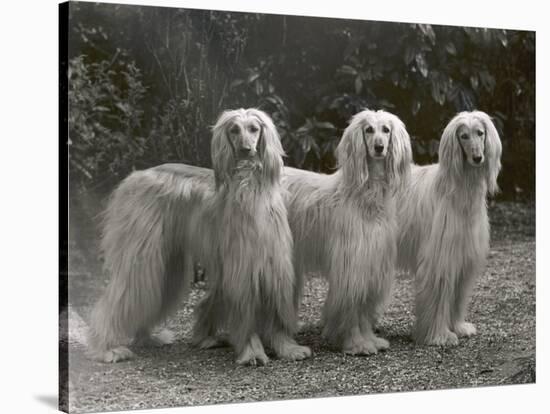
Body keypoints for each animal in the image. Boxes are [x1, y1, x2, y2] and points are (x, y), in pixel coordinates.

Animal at [85, 108, 310, 364]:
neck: (250, 190)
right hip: (141, 251)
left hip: (167, 261)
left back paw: (147, 337)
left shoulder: (272, 261)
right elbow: (244, 313)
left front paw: (287, 347)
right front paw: (252, 351)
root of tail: (136, 176)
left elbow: (276, 310)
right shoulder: (242, 265)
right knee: (125, 294)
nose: (245, 150)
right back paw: (106, 348)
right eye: (234, 130)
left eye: (254, 129)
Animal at [282, 109, 412, 352]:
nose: (379, 147)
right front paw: (356, 343)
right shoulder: (352, 262)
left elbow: (364, 308)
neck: (366, 196)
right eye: (368, 129)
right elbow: (351, 305)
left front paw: (369, 339)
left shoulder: (373, 260)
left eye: (386, 130)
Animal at [396, 111, 504, 346]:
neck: (460, 190)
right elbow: (439, 293)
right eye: (463, 136)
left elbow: (458, 293)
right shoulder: (440, 257)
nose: (477, 158)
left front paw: (458, 327)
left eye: (480, 133)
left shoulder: (463, 254)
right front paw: (439, 335)